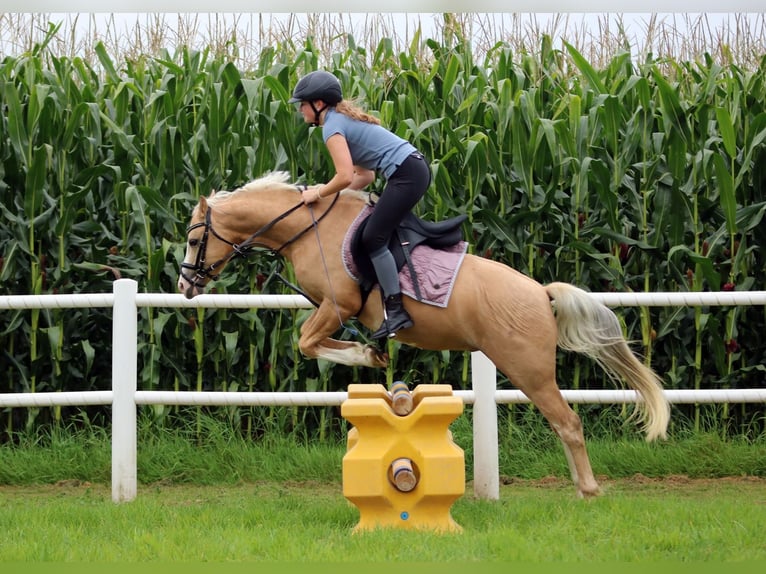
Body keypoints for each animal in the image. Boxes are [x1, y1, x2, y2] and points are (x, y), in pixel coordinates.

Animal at [177, 171, 670, 498]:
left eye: (193, 239)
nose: (184, 285)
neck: (309, 229)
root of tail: (540, 291)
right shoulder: (329, 310)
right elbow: (312, 343)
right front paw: (375, 355)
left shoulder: (337, 306)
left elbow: (308, 342)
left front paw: (367, 354)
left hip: (529, 371)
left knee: (568, 422)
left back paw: (588, 488)